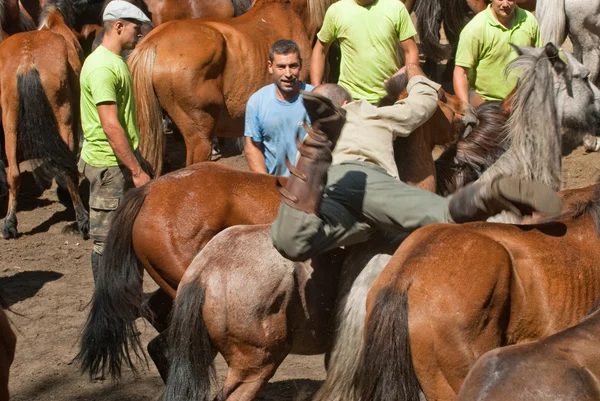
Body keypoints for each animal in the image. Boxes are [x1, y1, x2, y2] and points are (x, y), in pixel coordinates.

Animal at [0, 0, 89, 238]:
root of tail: (26, 60)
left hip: (9, 122)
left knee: (13, 173)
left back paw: (9, 224)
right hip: (63, 116)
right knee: (67, 167)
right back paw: (82, 219)